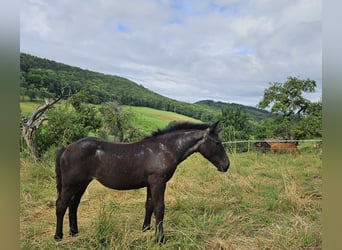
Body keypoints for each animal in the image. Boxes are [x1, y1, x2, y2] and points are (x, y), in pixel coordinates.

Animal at [54, 122, 230, 243]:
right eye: (217, 143)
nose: (226, 165)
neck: (163, 149)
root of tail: (66, 149)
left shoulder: (150, 184)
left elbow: (149, 205)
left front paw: (146, 229)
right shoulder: (158, 182)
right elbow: (159, 208)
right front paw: (160, 238)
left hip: (82, 184)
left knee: (73, 205)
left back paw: (74, 232)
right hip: (71, 184)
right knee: (61, 205)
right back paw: (58, 236)